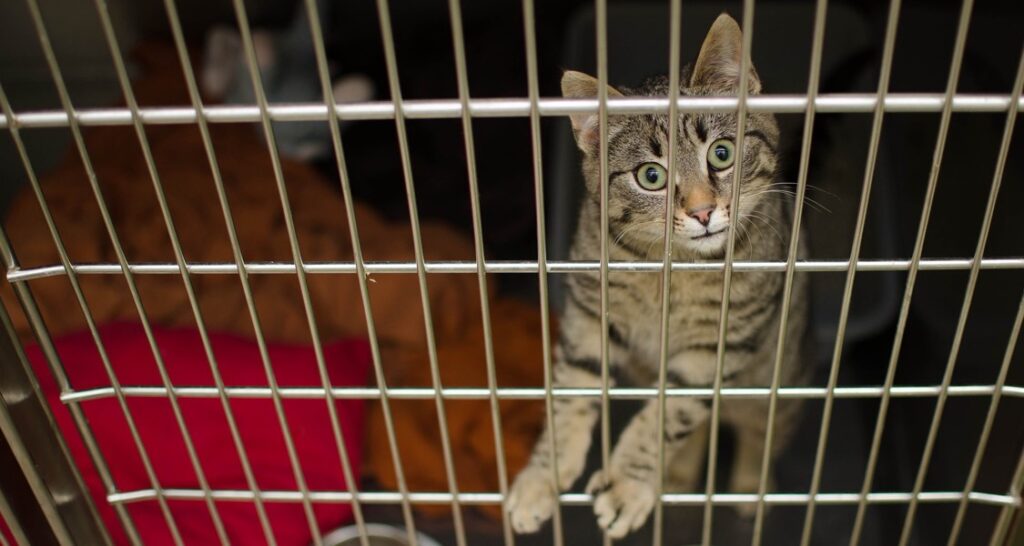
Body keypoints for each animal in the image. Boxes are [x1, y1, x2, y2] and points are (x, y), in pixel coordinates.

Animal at [503, 12, 806, 536]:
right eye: (651, 176)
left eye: (722, 153)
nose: (703, 212)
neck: (675, 268)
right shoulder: (590, 315)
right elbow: (571, 392)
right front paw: (543, 475)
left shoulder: (716, 345)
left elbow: (669, 412)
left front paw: (627, 484)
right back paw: (679, 478)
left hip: (778, 381)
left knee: (762, 430)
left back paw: (750, 486)